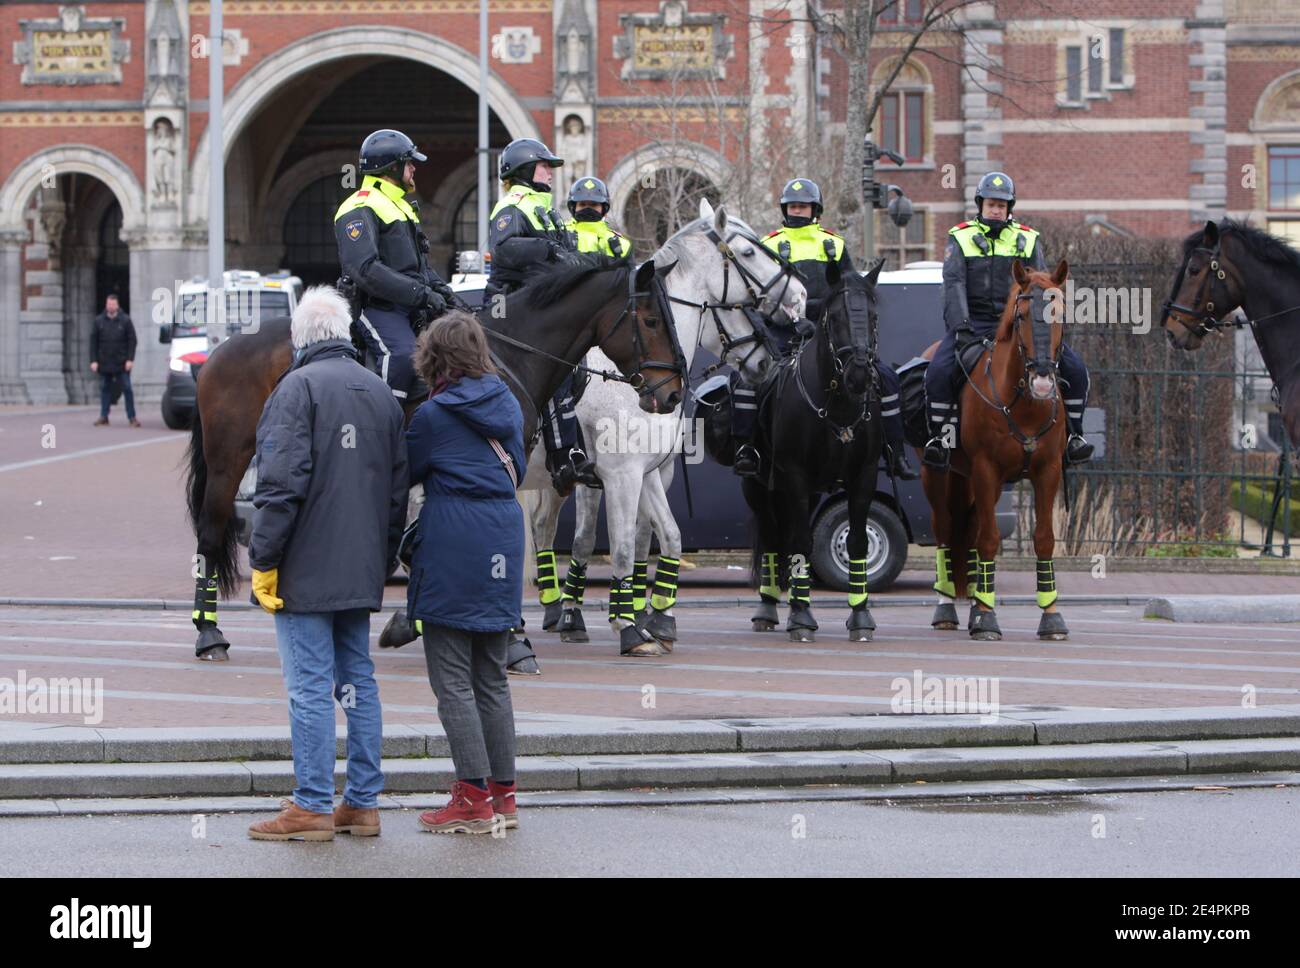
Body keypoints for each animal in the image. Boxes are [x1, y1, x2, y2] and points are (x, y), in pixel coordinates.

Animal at [189, 254, 691, 665]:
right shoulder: (603, 473)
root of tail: (222, 348)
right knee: (212, 533)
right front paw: (521, 639)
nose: (672, 393)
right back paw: (209, 634)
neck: (506, 355)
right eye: (650, 320)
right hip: (229, 461)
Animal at [517, 201, 800, 657]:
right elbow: (618, 547)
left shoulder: (650, 473)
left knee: (542, 527)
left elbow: (664, 536)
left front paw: (659, 618)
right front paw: (627, 626)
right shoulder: (620, 475)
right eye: (749, 252)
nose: (799, 295)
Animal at [707, 261, 889, 639]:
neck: (837, 405)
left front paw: (860, 615)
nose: (859, 375)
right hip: (759, 486)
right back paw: (767, 608)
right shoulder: (795, 476)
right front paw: (802, 617)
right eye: (835, 317)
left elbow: (857, 542)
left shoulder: (862, 478)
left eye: (874, 315)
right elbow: (801, 543)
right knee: (773, 538)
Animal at [920, 257, 1071, 641]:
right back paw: (948, 608)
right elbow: (988, 539)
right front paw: (988, 618)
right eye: (1022, 315)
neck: (1025, 404)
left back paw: (975, 604)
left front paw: (1051, 615)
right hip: (936, 475)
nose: (1043, 378)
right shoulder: (986, 469)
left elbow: (1043, 539)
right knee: (945, 531)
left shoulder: (1047, 472)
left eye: (1060, 313)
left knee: (970, 533)